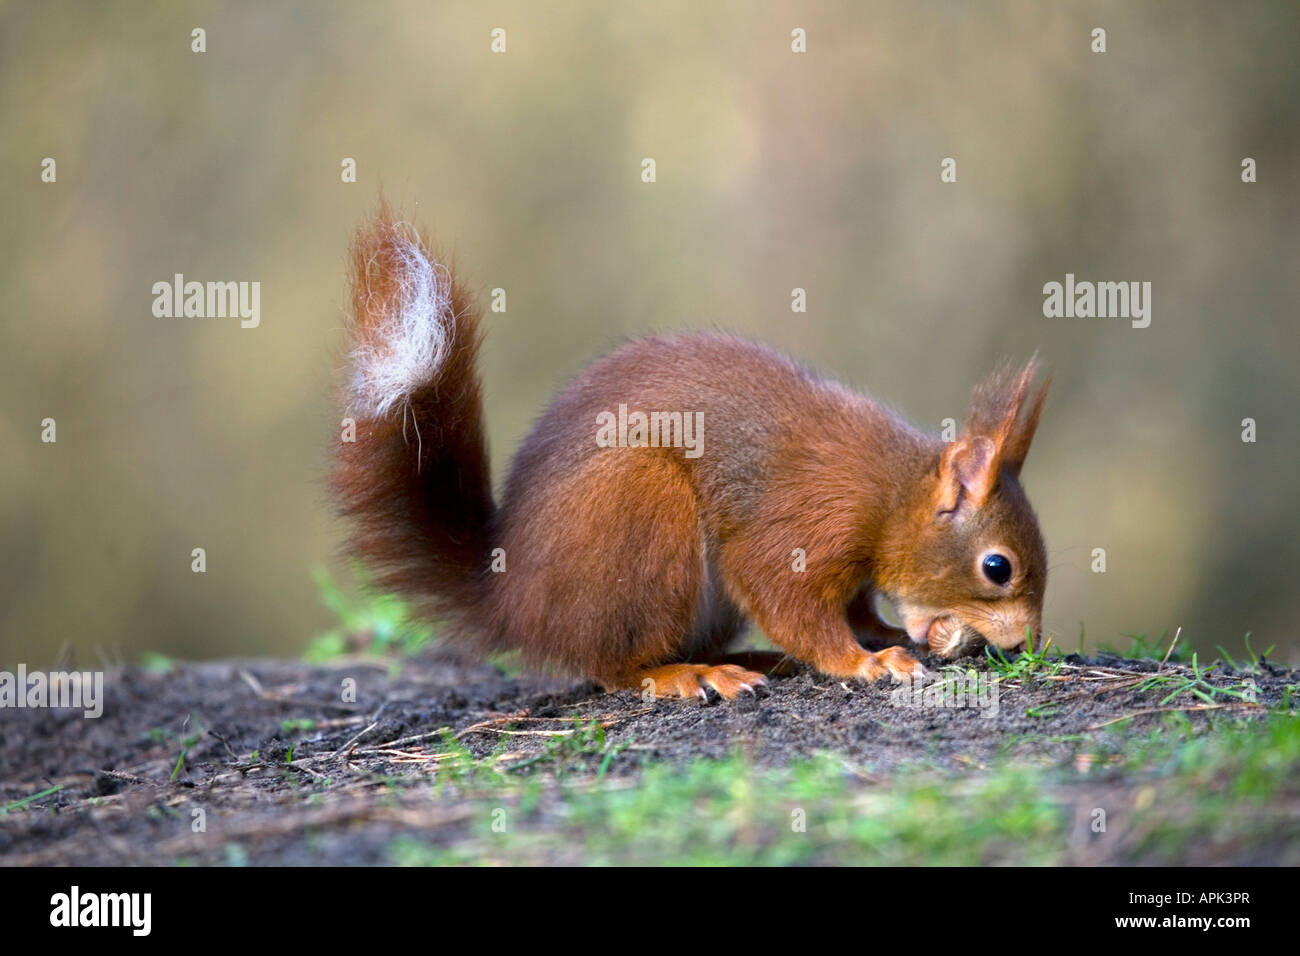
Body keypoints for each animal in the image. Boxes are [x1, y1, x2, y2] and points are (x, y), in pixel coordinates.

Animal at [330, 209, 1050, 697]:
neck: (893, 494)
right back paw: (686, 675)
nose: (1024, 645)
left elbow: (854, 608)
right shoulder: (808, 522)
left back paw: (751, 661)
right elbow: (788, 597)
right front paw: (864, 661)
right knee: (611, 665)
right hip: (641, 506)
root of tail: (513, 598)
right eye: (997, 568)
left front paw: (890, 634)